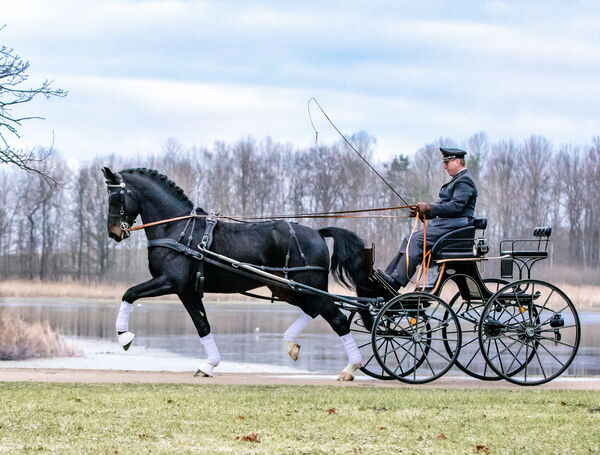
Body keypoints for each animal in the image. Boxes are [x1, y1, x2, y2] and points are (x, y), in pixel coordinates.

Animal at [102, 167, 376, 382]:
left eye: (116, 197)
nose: (113, 232)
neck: (178, 229)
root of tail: (317, 233)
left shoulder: (170, 282)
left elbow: (129, 293)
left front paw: (124, 337)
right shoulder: (187, 290)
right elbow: (202, 325)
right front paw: (209, 365)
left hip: (310, 287)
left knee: (338, 320)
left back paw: (350, 368)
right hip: (287, 289)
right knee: (314, 311)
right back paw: (291, 345)